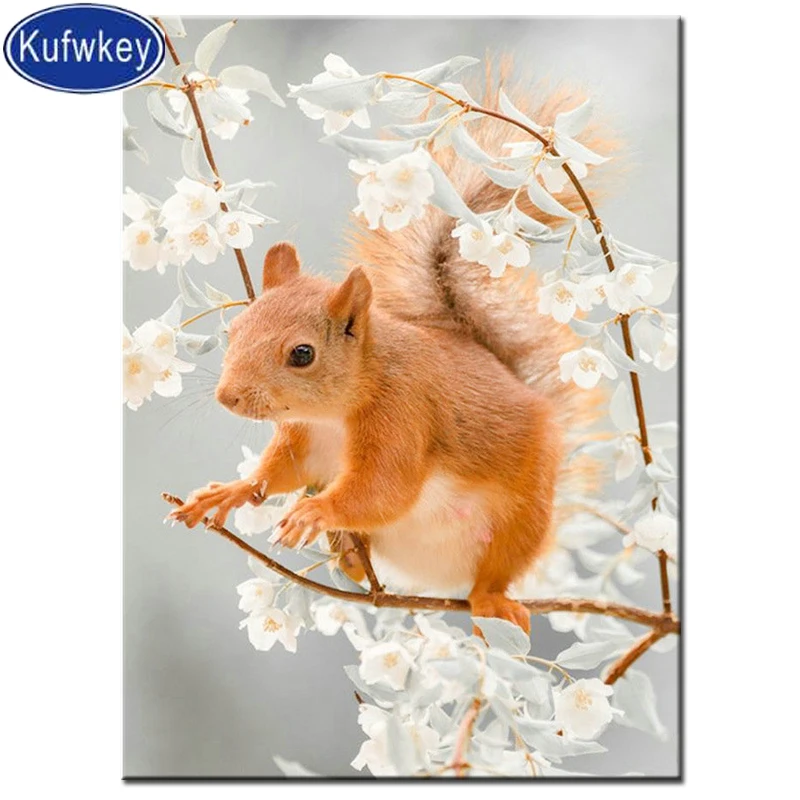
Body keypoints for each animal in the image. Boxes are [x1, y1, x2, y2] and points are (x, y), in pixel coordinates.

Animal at [171, 74, 610, 633]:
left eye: (302, 354)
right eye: (235, 330)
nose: (228, 397)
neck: (335, 413)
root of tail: (438, 581)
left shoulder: (403, 414)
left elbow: (385, 489)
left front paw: (316, 512)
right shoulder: (303, 439)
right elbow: (277, 474)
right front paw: (229, 491)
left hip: (523, 516)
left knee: (496, 570)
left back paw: (490, 601)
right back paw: (350, 557)